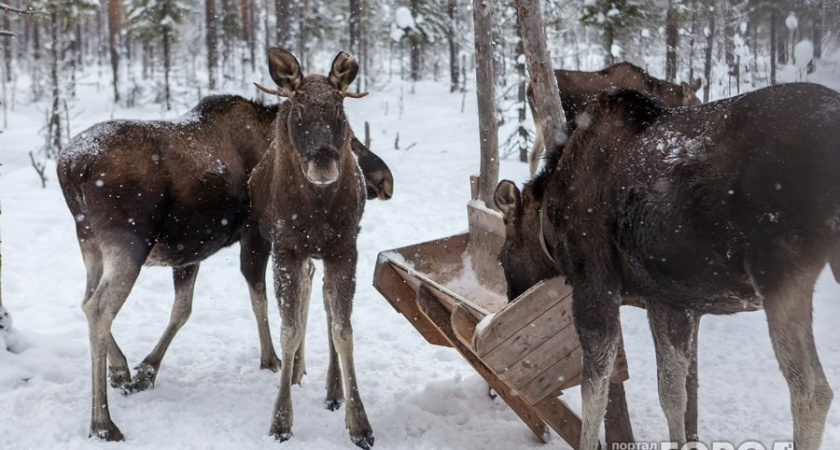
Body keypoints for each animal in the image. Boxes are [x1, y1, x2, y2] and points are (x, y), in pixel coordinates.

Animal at [57, 91, 392, 440]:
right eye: (351, 140)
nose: (385, 179)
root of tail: (70, 165)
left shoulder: (190, 252)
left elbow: (183, 309)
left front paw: (147, 370)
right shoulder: (256, 234)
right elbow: (260, 299)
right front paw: (271, 360)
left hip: (89, 242)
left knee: (86, 301)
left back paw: (119, 369)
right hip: (129, 245)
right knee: (98, 309)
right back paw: (103, 422)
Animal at [244, 47, 372, 448]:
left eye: (339, 110)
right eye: (299, 111)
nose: (323, 162)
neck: (317, 206)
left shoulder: (345, 249)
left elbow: (343, 329)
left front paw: (359, 421)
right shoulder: (286, 249)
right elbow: (290, 329)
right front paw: (281, 419)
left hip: (325, 255)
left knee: (326, 308)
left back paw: (333, 390)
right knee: (303, 304)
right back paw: (299, 370)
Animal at [496, 81, 836, 450]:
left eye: (502, 258)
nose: (510, 296)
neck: (548, 218)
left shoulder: (594, 283)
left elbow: (594, 392)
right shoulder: (667, 300)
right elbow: (673, 393)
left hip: (779, 272)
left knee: (812, 392)